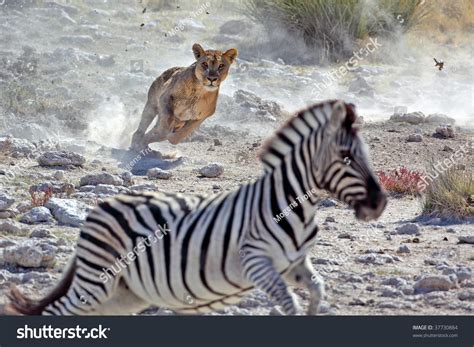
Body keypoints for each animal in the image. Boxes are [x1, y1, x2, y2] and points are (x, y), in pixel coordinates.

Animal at [6, 99, 386, 316]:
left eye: (366, 154)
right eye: (346, 157)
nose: (380, 203)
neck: (289, 205)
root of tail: (103, 206)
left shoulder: (294, 264)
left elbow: (317, 289)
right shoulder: (255, 262)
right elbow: (289, 303)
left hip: (124, 294)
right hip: (97, 283)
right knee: (58, 313)